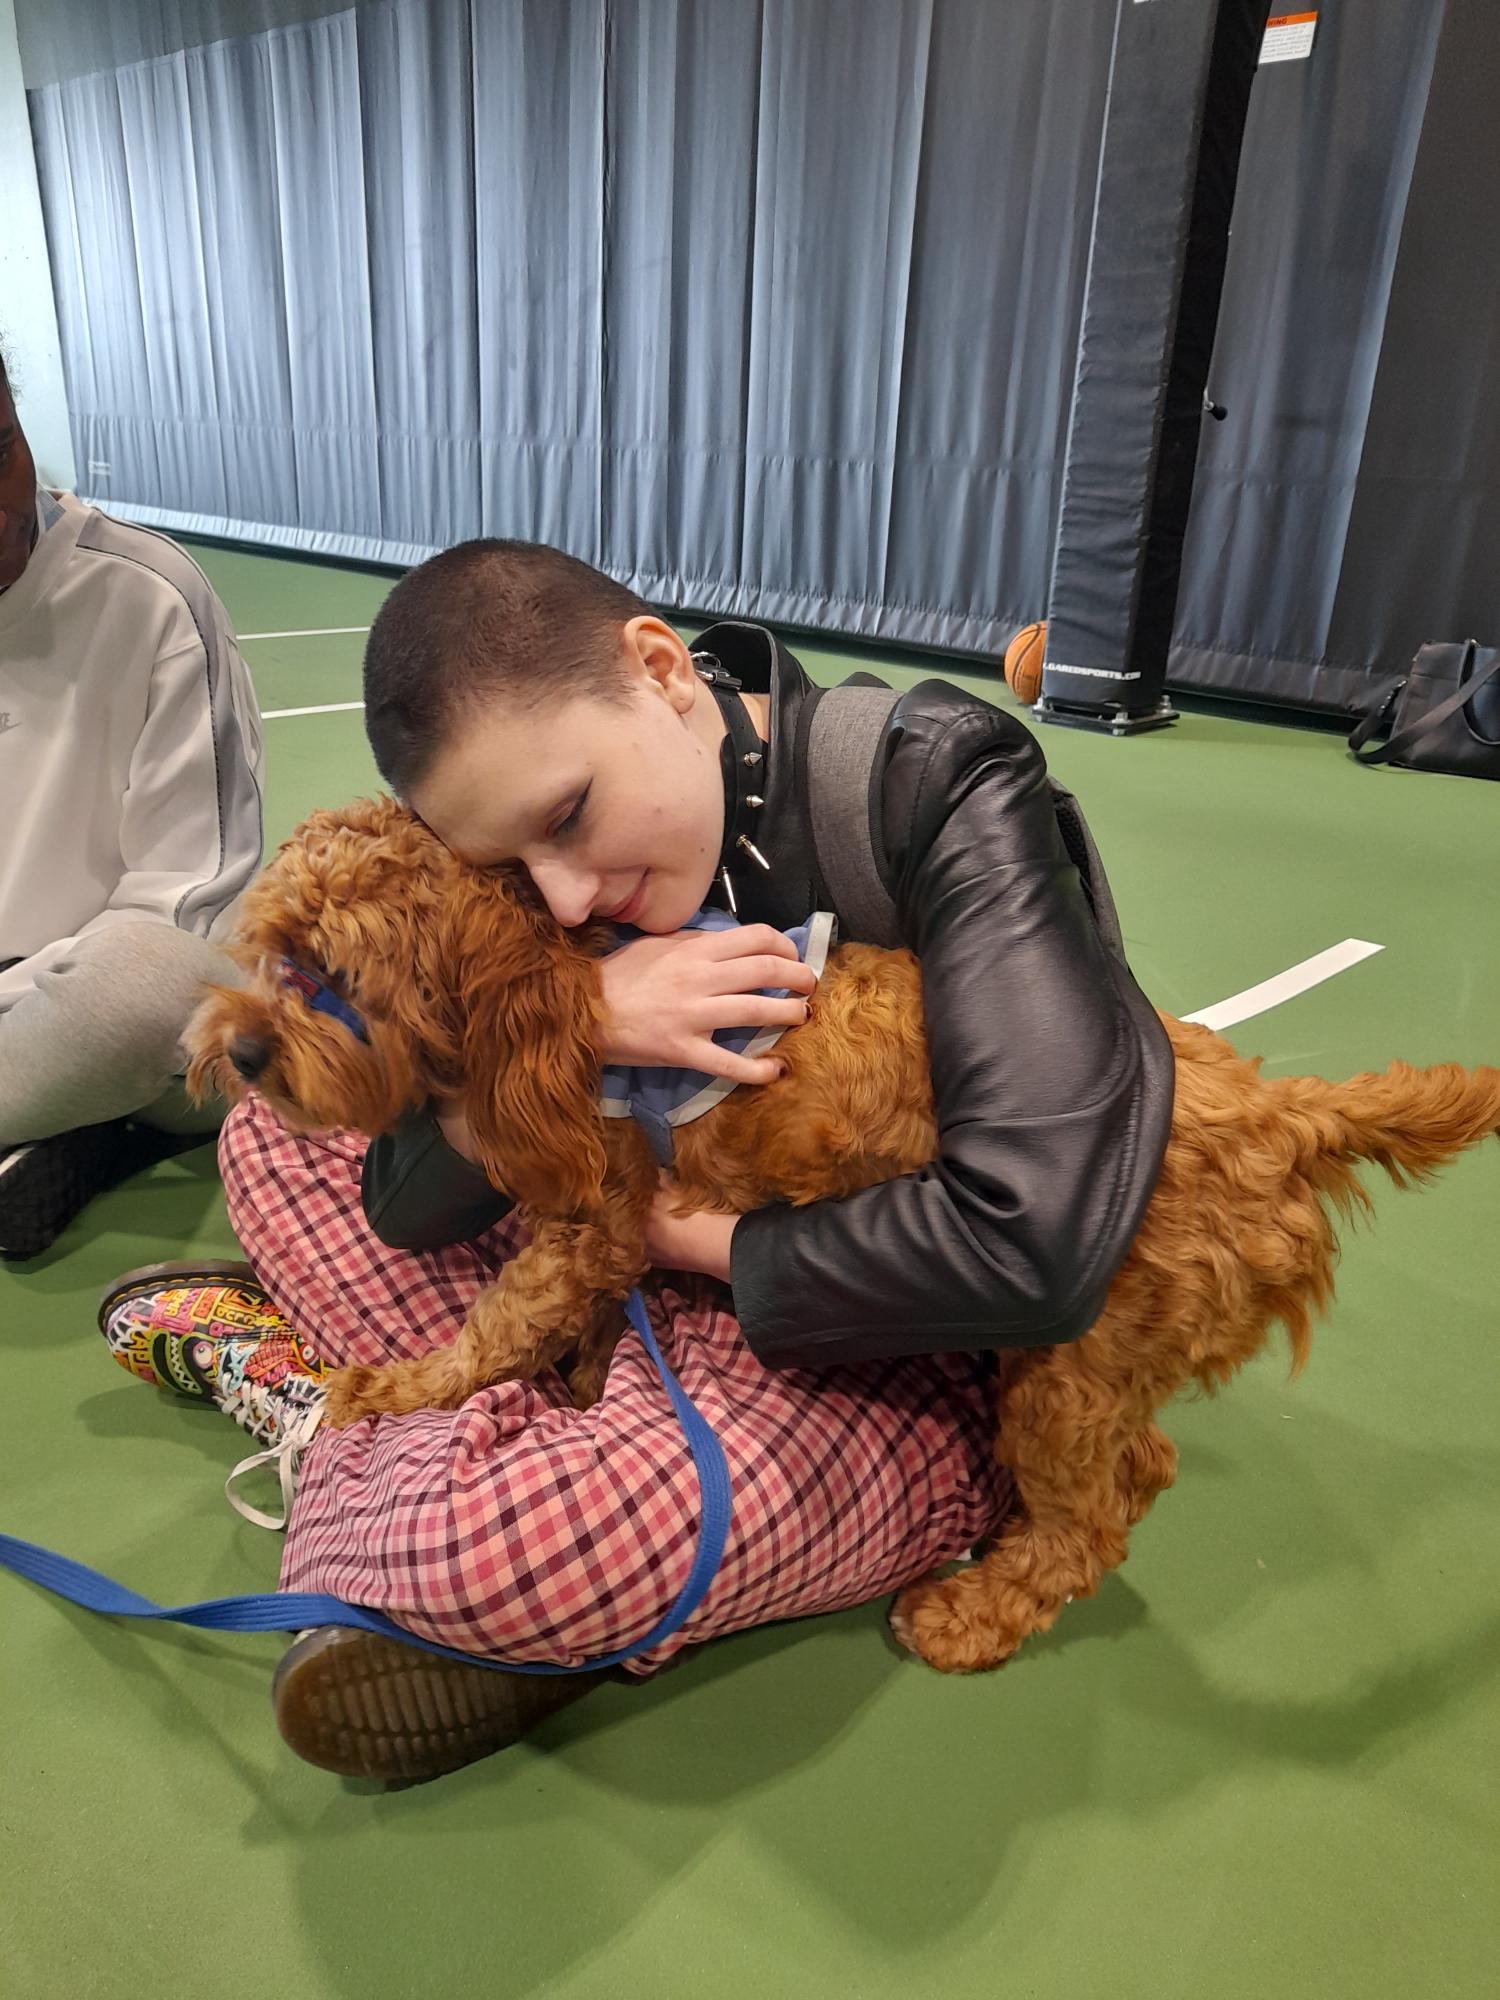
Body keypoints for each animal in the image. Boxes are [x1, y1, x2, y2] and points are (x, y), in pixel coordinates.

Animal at [188, 796, 1500, 1672]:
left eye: (337, 974)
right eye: (273, 947)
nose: (240, 1050)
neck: (558, 987)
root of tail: (1281, 1113)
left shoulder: (587, 1223)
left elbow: (491, 1327)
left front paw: (391, 1388)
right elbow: (575, 1333)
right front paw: (582, 1378)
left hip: (1070, 1365)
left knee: (1099, 1514)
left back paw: (971, 1612)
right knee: (1138, 1473)